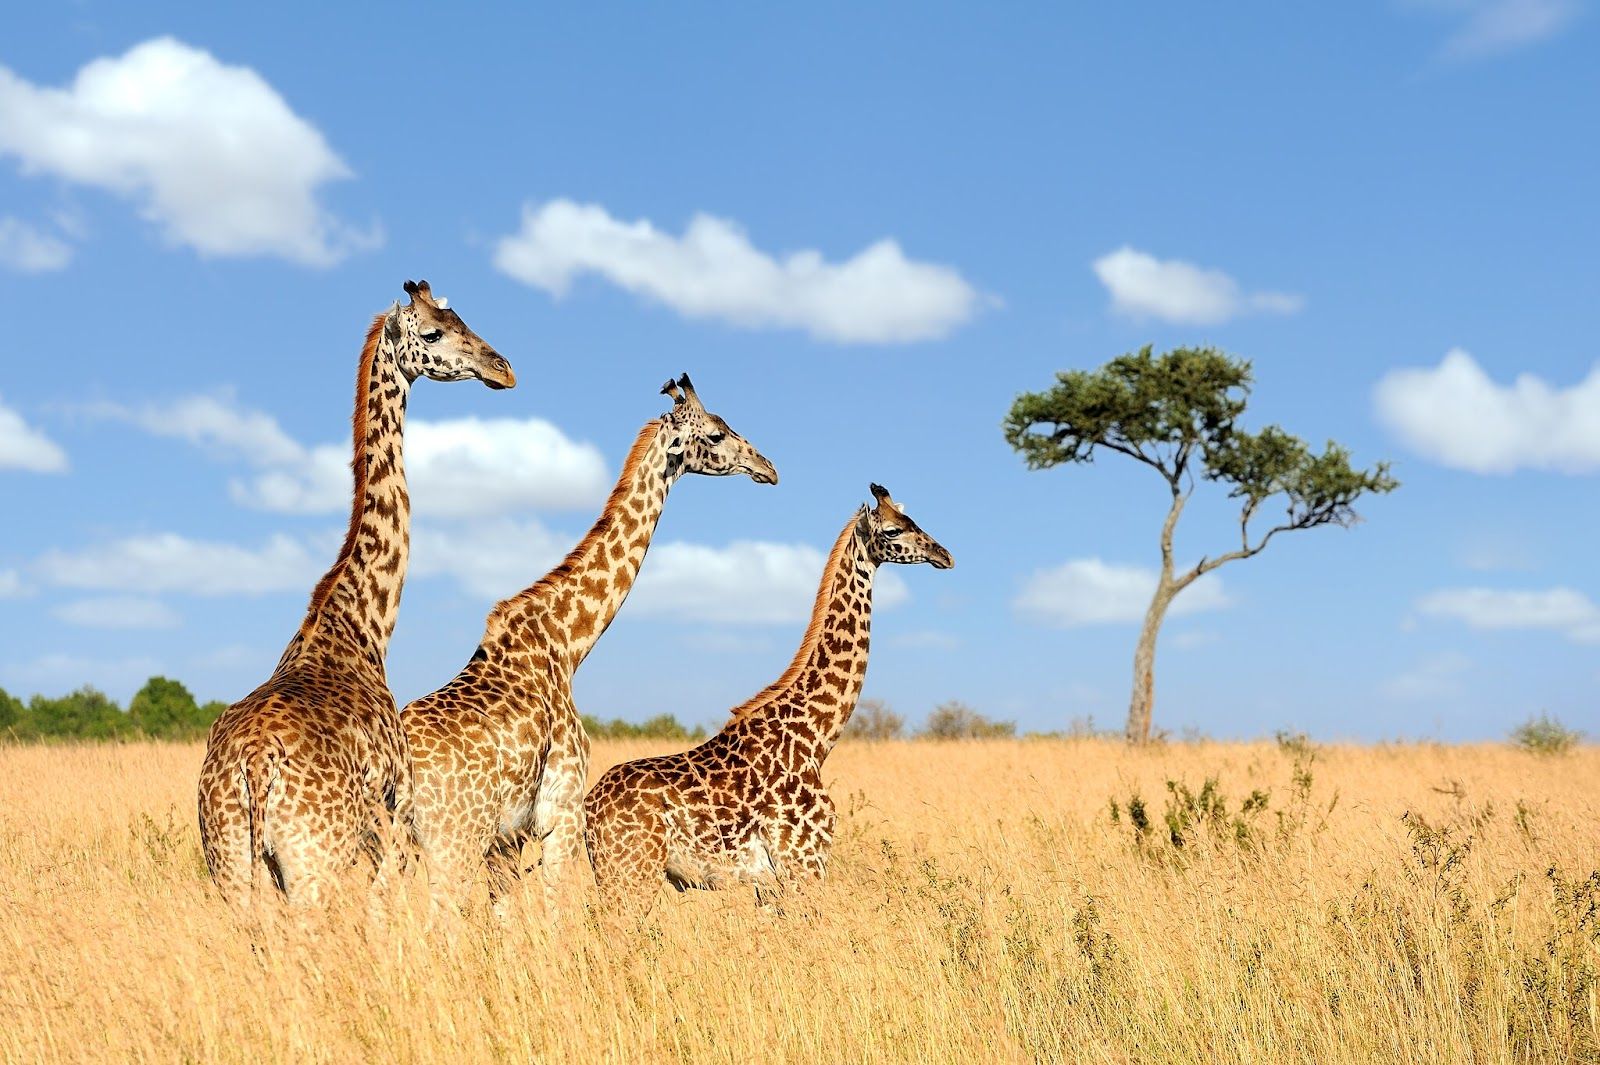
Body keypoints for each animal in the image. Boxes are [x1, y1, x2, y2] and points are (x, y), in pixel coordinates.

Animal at [197, 280, 515, 907]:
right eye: (434, 332)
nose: (504, 369)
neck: (362, 622)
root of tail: (252, 767)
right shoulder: (397, 809)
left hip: (230, 864)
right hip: (313, 863)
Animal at [401, 373, 777, 914]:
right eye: (716, 433)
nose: (768, 468)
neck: (567, 642)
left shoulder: (509, 838)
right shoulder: (560, 813)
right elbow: (557, 912)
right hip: (452, 838)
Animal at [583, 484, 953, 918]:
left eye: (914, 520)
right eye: (894, 530)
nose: (944, 554)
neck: (816, 736)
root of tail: (587, 808)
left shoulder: (774, 883)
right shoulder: (803, 862)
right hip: (631, 873)